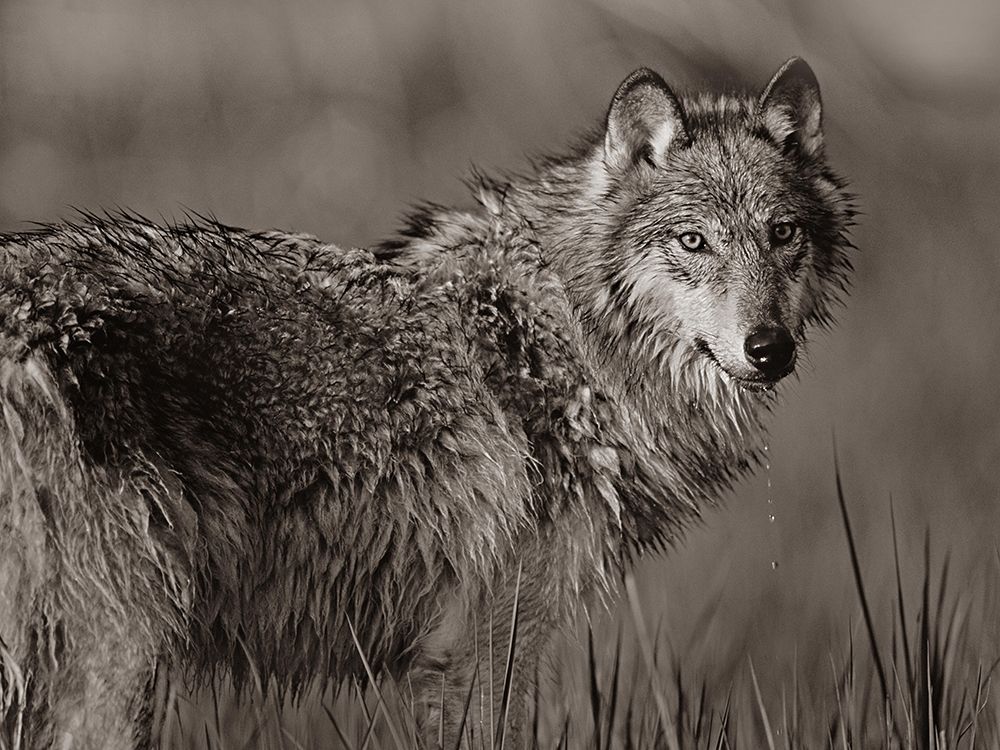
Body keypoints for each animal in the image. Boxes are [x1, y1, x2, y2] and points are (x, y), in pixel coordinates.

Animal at [0, 57, 852, 747]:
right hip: (117, 667)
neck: (569, 336)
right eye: (693, 242)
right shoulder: (490, 645)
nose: (769, 348)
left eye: (782, 235)